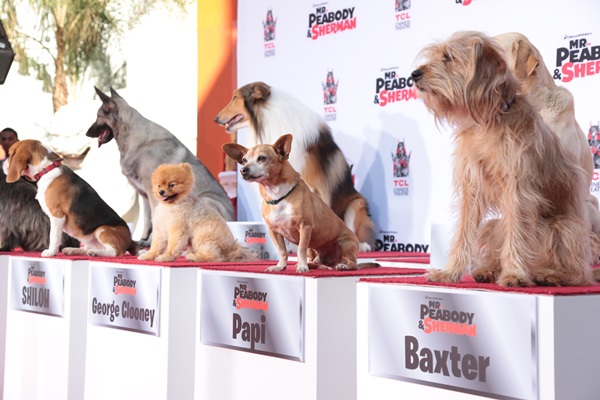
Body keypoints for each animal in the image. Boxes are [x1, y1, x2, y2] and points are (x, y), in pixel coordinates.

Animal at [3, 140, 138, 257]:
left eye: (10, 154)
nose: (3, 163)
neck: (47, 170)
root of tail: (130, 239)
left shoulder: (57, 215)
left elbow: (53, 236)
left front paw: (51, 252)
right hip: (90, 238)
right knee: (89, 248)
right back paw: (74, 250)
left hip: (102, 230)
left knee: (115, 252)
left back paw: (96, 253)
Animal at [86, 87, 234, 245]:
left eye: (98, 116)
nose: (86, 133)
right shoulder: (144, 195)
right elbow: (147, 219)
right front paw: (144, 239)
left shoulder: (153, 194)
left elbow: (155, 217)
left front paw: (151, 241)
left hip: (203, 200)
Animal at [222, 134, 379, 273]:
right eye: (244, 160)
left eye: (262, 158)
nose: (243, 170)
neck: (278, 196)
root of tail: (331, 264)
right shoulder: (274, 231)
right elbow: (282, 251)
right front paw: (280, 266)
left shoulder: (305, 228)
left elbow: (300, 250)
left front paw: (301, 267)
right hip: (314, 250)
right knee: (316, 261)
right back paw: (312, 264)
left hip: (344, 243)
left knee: (352, 263)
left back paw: (342, 266)